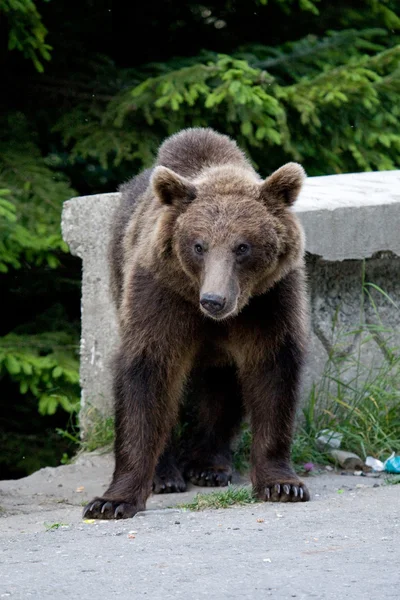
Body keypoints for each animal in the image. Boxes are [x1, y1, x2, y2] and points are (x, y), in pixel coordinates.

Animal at [83, 127, 310, 520]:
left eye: (243, 246)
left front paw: (283, 484)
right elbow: (148, 374)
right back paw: (166, 475)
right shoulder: (161, 295)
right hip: (117, 271)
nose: (213, 300)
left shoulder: (270, 300)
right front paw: (113, 499)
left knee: (222, 385)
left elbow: (273, 370)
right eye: (198, 245)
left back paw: (210, 465)